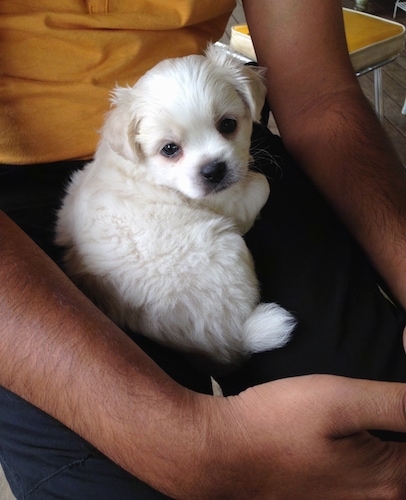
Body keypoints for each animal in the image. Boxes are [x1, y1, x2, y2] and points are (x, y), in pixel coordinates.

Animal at [55, 45, 294, 366]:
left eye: (228, 125)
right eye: (170, 149)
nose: (214, 171)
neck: (145, 169)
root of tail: (234, 339)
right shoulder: (230, 204)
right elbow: (261, 184)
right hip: (228, 247)